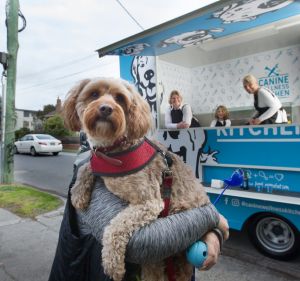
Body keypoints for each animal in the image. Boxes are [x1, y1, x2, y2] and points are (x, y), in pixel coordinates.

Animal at [63, 77, 212, 280]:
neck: (115, 152)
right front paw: (79, 192)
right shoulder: (100, 161)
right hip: (157, 260)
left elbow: (116, 226)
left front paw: (112, 263)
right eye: (94, 94)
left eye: (119, 98)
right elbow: (89, 165)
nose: (105, 108)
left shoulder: (149, 202)